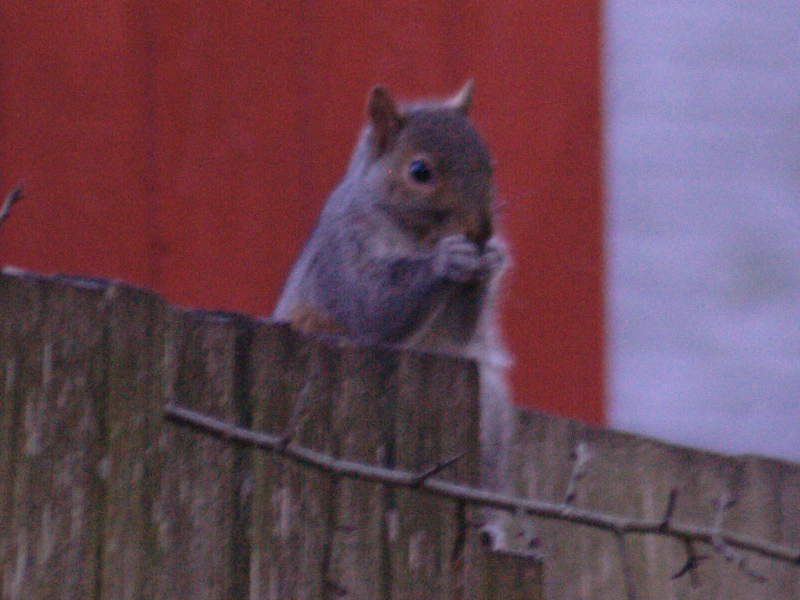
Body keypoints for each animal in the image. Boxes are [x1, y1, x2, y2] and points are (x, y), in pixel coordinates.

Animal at [273, 81, 514, 548]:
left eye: (491, 164)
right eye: (420, 172)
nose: (482, 232)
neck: (414, 237)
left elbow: (457, 335)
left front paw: (491, 260)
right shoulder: (343, 255)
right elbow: (375, 307)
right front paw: (448, 260)